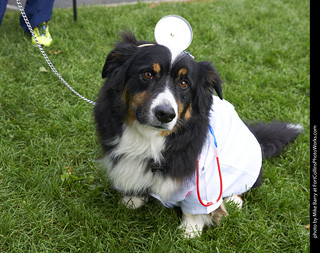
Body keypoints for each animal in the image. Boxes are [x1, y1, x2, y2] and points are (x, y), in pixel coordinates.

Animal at [94, 32, 302, 238]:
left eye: (184, 83)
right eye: (147, 74)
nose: (165, 114)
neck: (151, 137)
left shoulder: (203, 175)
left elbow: (196, 206)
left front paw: (190, 230)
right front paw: (133, 199)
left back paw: (234, 200)